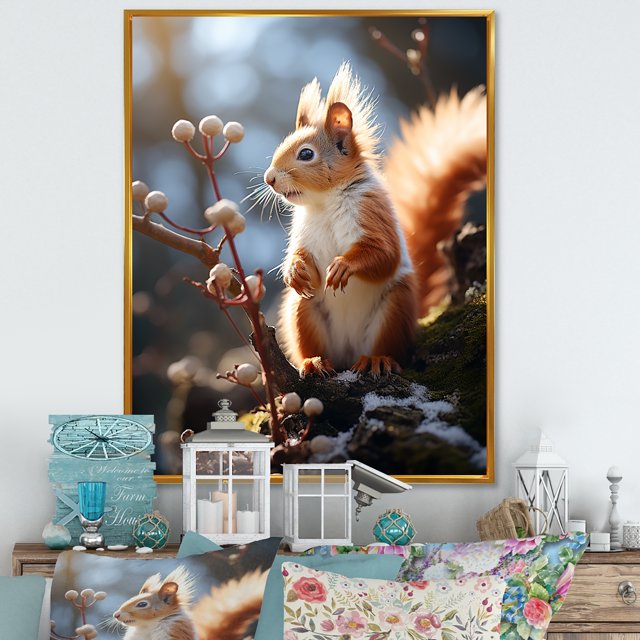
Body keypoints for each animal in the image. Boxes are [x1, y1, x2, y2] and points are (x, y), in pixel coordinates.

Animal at [264, 62, 486, 377]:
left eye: (306, 154)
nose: (269, 178)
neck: (324, 202)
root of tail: (349, 353)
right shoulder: (304, 232)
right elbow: (301, 255)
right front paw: (294, 270)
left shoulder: (372, 212)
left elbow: (383, 253)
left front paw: (344, 265)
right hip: (302, 310)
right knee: (312, 343)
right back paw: (314, 362)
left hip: (393, 309)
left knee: (385, 346)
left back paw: (375, 360)